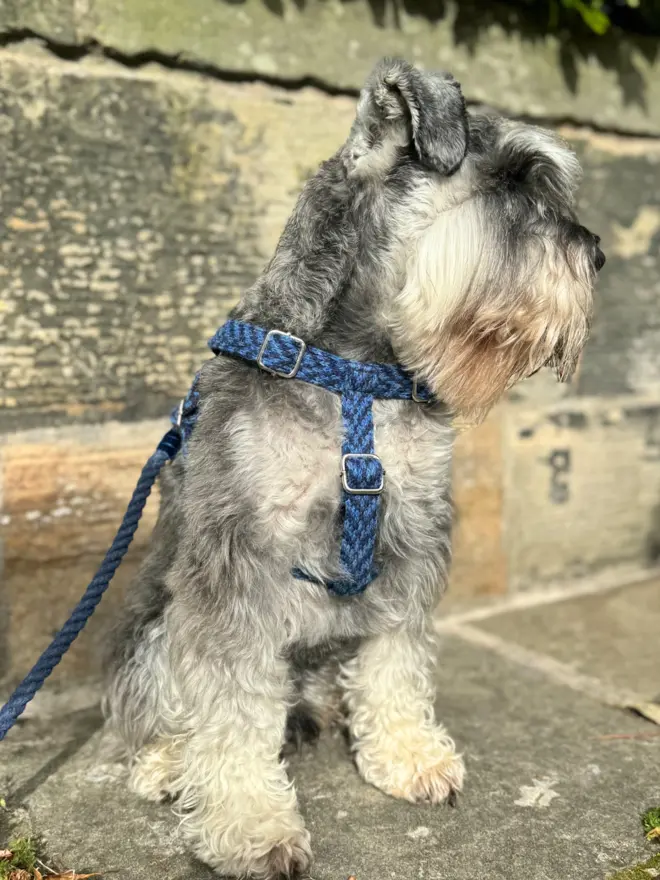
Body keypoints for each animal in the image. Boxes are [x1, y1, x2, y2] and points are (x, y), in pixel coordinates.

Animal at [103, 58, 604, 876]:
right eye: (512, 183)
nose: (596, 256)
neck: (356, 372)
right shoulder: (236, 560)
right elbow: (230, 705)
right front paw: (250, 824)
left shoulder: (412, 535)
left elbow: (395, 660)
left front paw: (408, 756)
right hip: (154, 633)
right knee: (164, 706)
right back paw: (168, 763)